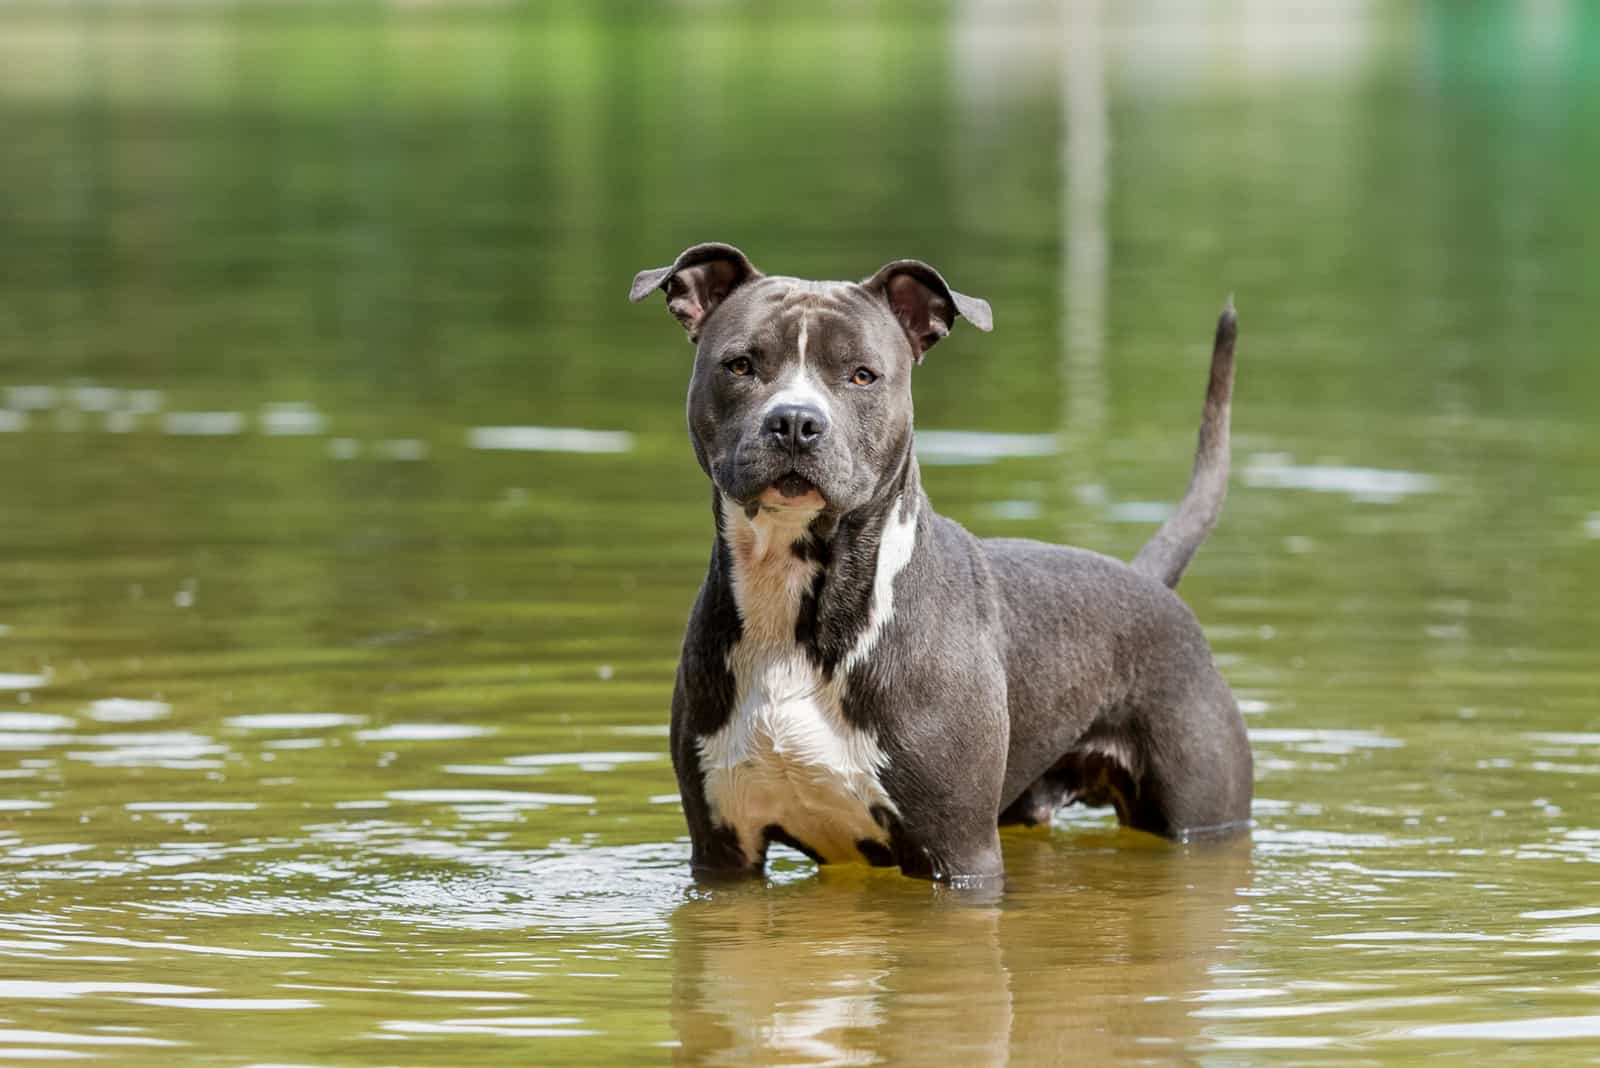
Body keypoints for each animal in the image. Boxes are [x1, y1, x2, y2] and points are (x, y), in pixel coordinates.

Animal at [624, 244, 1248, 882]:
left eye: (862, 374)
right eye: (741, 365)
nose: (795, 421)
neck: (798, 597)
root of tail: (1148, 581)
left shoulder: (959, 851)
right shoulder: (723, 851)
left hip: (1202, 814)